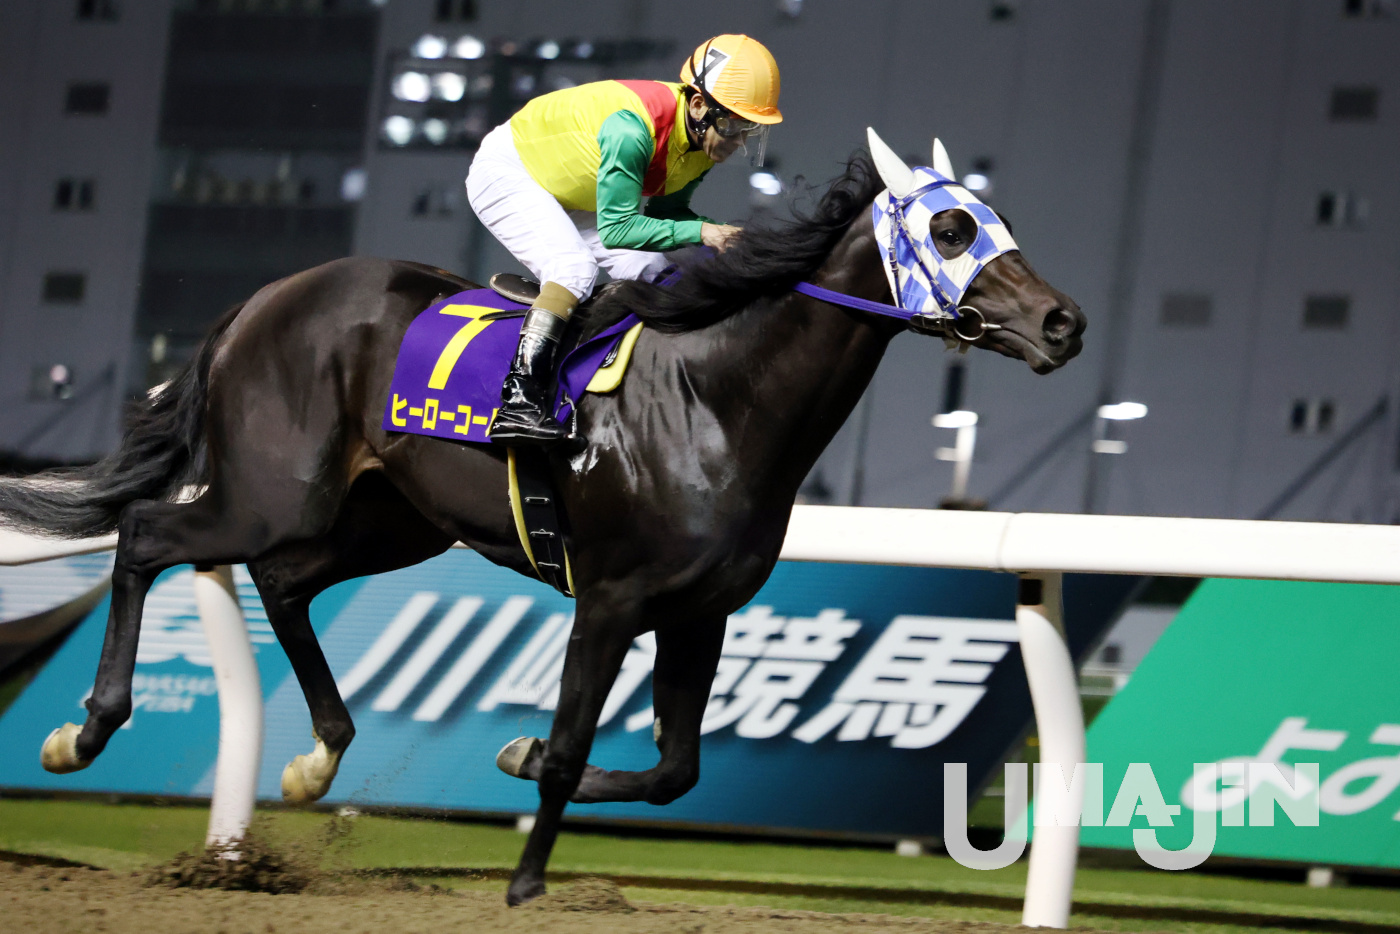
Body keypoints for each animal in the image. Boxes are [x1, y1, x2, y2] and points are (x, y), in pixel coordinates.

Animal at [0, 137, 1084, 905]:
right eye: (952, 230)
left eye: (994, 218)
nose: (1063, 322)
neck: (719, 397)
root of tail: (260, 300)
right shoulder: (608, 599)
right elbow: (568, 746)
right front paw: (525, 878)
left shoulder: (699, 613)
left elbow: (675, 770)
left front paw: (514, 764)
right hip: (272, 492)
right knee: (148, 536)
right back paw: (84, 733)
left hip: (389, 520)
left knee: (283, 582)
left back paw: (315, 758)